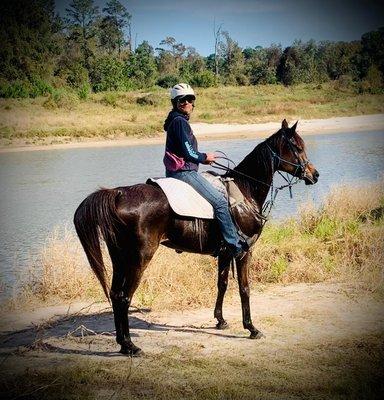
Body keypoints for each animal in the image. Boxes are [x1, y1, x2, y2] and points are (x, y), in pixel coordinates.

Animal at [73, 119, 320, 356]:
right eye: (298, 147)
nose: (314, 174)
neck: (245, 191)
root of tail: (118, 193)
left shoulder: (225, 253)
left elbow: (222, 284)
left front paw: (220, 320)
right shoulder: (244, 251)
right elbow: (245, 289)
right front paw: (251, 328)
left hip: (120, 258)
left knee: (116, 295)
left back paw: (123, 343)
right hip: (138, 259)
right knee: (124, 297)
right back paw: (130, 345)